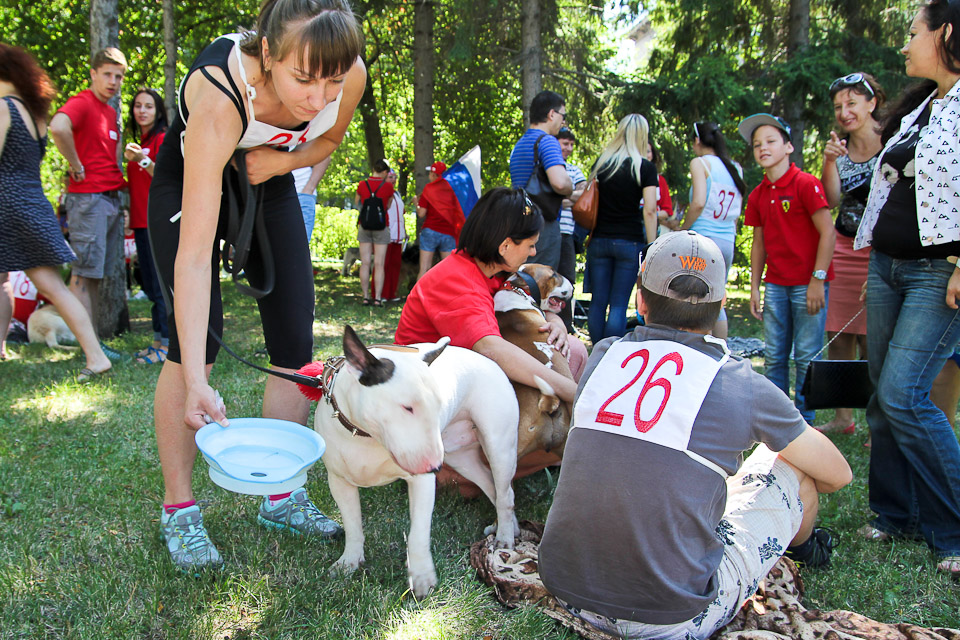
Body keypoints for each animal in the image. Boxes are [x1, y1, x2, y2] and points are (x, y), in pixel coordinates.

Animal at [313, 326, 520, 598]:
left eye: (439, 406)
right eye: (407, 407)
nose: (435, 467)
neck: (365, 435)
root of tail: (490, 361)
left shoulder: (421, 482)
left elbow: (418, 533)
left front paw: (422, 577)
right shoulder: (339, 482)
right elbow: (352, 524)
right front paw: (349, 561)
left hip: (499, 445)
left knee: (505, 492)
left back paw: (505, 536)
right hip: (461, 458)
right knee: (492, 486)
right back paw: (510, 528)